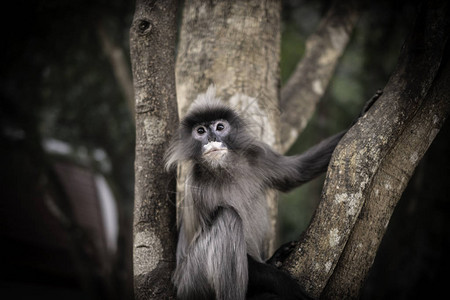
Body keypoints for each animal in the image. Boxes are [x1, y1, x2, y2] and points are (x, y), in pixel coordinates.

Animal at [165, 85, 376, 298]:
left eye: (219, 127)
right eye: (200, 131)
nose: (212, 138)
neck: (225, 169)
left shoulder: (257, 155)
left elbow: (298, 171)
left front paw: (363, 112)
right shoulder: (197, 188)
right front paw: (284, 283)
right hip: (191, 281)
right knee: (228, 217)